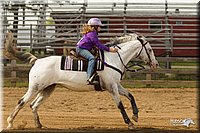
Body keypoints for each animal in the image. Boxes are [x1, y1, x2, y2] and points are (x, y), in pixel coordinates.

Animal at [3, 32, 159, 129]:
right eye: (150, 50)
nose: (156, 64)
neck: (113, 59)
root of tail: (37, 60)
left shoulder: (115, 85)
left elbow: (131, 96)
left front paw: (135, 116)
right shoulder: (112, 87)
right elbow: (120, 105)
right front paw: (129, 123)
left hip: (48, 88)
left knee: (33, 105)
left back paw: (39, 125)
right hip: (35, 88)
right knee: (22, 102)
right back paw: (10, 123)